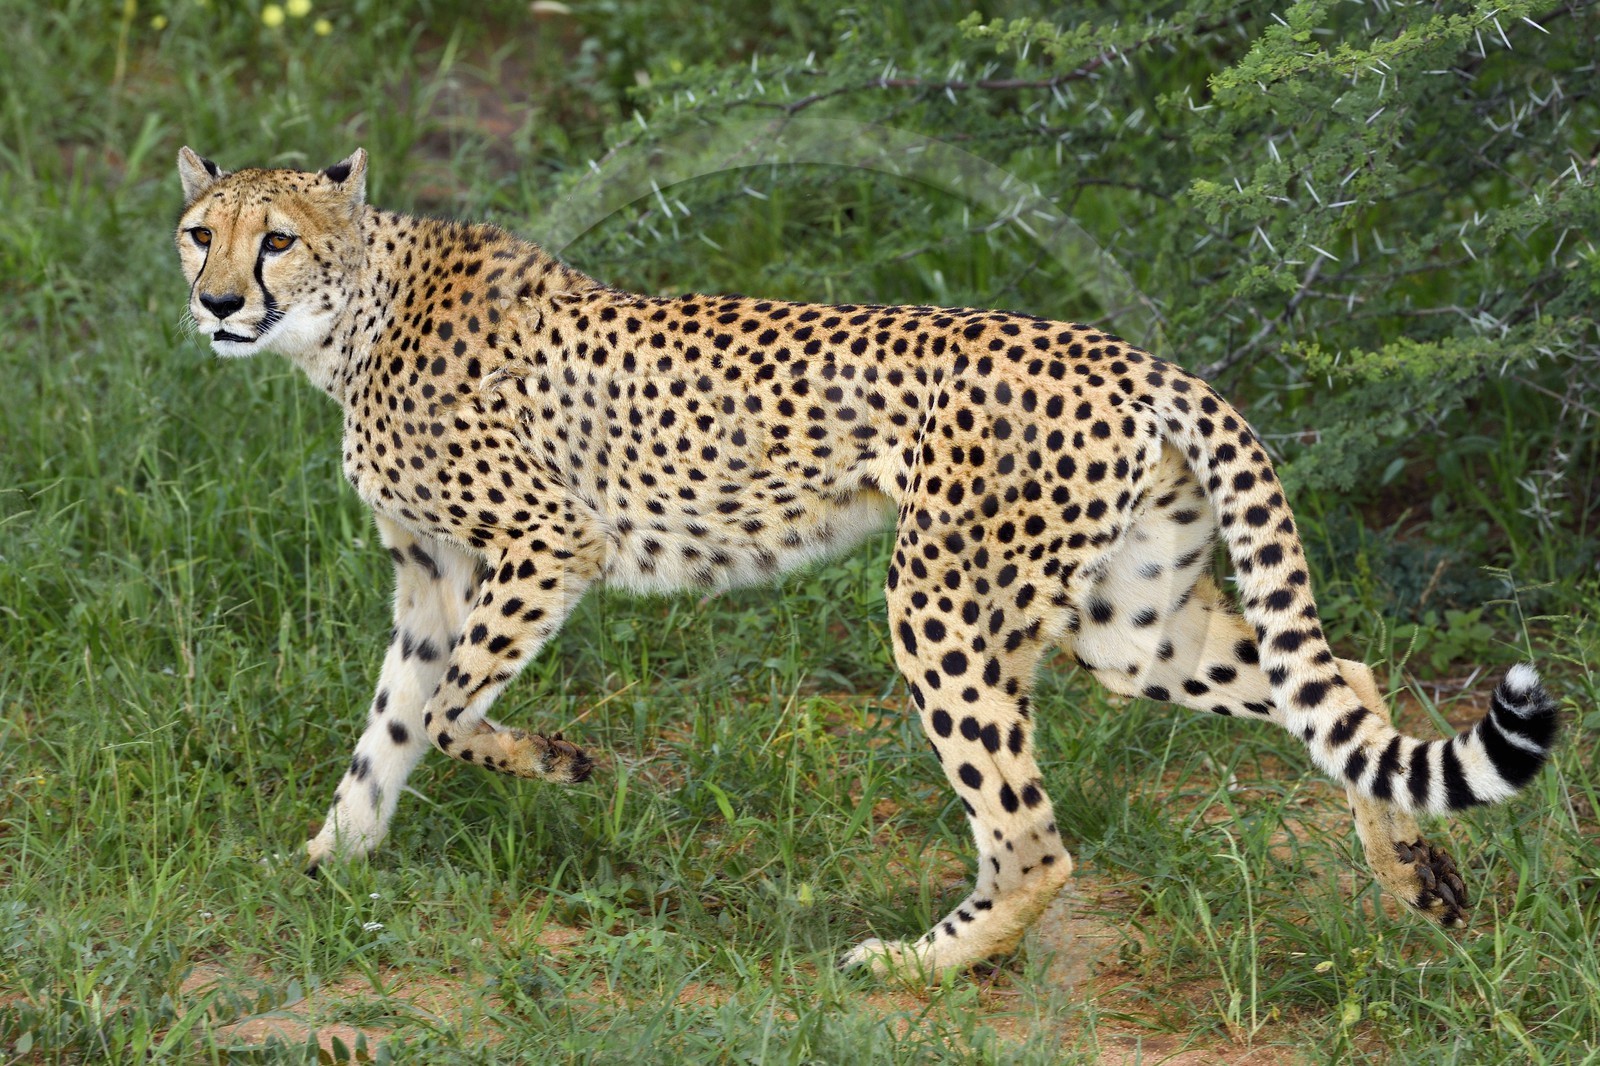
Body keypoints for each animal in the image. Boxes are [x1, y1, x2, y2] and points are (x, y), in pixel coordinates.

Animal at [174, 146, 1559, 979]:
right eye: (198, 232)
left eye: (276, 239)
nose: (218, 302)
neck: (350, 320)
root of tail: (1131, 358)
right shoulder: (430, 576)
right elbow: (390, 727)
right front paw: (326, 864)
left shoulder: (545, 544)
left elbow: (451, 714)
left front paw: (563, 765)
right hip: (1132, 623)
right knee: (1347, 683)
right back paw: (1416, 877)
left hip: (939, 598)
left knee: (1034, 839)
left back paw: (914, 964)